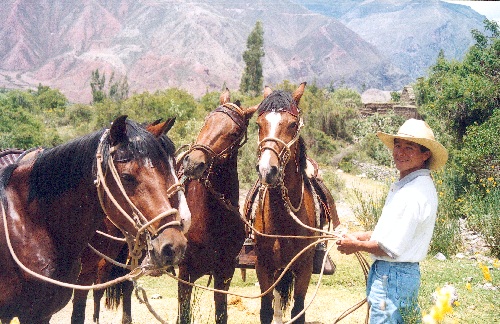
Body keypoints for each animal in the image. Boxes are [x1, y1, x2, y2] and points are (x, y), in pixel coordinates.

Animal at [178, 88, 258, 324]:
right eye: (207, 120)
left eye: (235, 133)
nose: (193, 163)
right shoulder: (184, 272)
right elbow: (184, 315)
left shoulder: (225, 272)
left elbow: (221, 313)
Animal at [252, 83, 318, 324]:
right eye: (258, 124)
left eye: (292, 124)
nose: (267, 170)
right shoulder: (264, 266)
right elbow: (266, 311)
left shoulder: (304, 266)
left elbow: (298, 311)